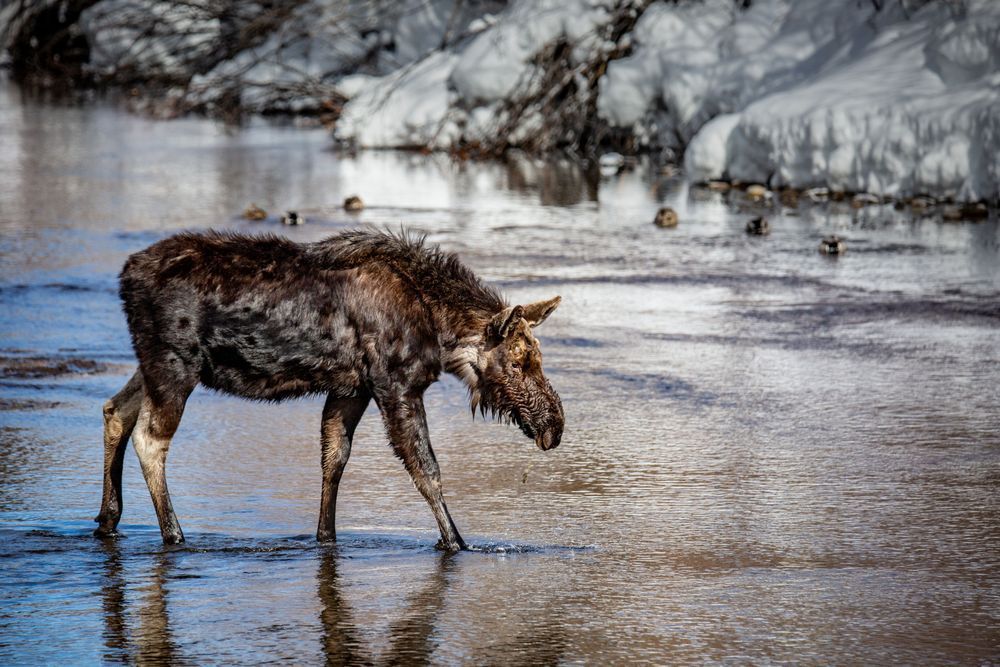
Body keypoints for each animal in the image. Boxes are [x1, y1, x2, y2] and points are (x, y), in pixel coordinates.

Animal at [93, 229, 564, 551]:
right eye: (519, 361)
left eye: (537, 357)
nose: (554, 426)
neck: (439, 328)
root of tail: (125, 277)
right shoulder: (395, 384)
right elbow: (426, 470)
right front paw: (457, 543)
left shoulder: (352, 388)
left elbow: (334, 458)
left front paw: (326, 536)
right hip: (175, 365)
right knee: (150, 439)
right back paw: (173, 533)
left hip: (150, 365)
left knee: (115, 410)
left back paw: (108, 518)